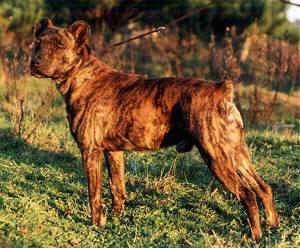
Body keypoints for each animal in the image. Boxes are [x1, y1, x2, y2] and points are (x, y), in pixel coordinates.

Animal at [29, 18, 278, 239]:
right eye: (38, 42)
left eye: (60, 45)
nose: (35, 62)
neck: (81, 74)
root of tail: (222, 89)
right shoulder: (113, 152)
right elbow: (117, 187)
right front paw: (116, 217)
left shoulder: (90, 151)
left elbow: (94, 194)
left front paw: (96, 223)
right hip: (235, 154)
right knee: (263, 188)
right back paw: (273, 226)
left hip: (217, 157)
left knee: (247, 194)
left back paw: (255, 235)